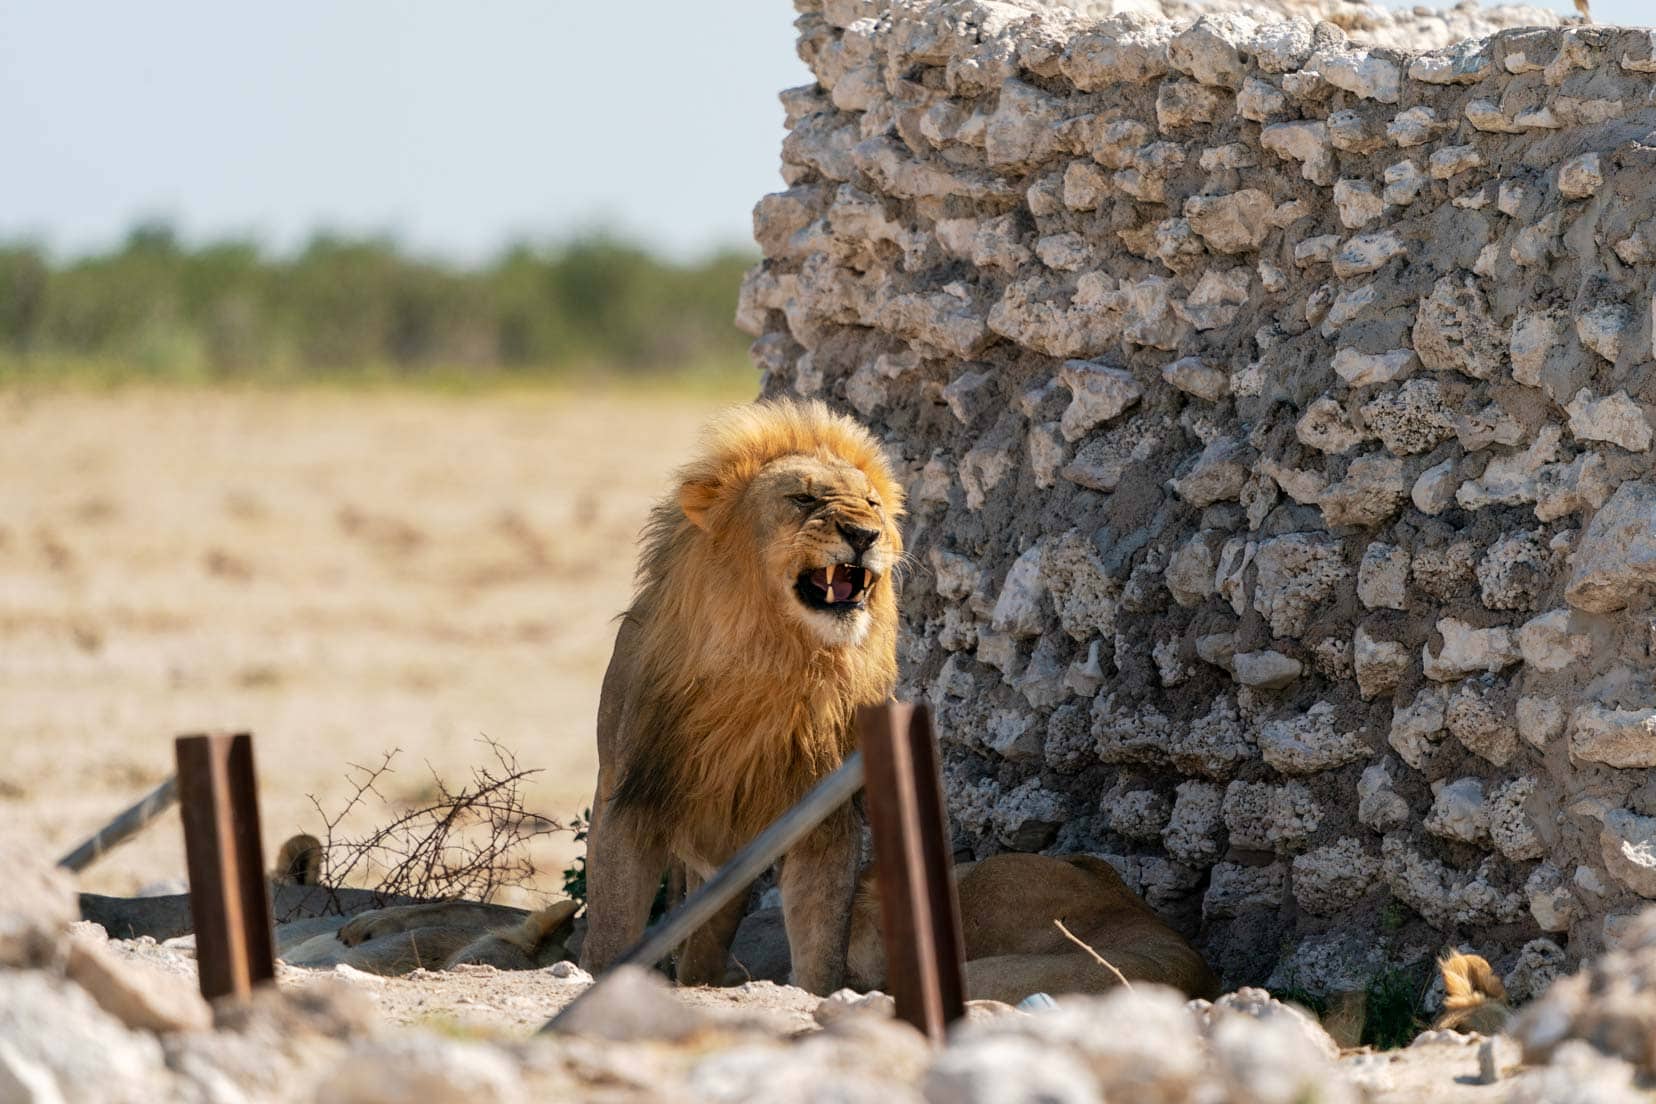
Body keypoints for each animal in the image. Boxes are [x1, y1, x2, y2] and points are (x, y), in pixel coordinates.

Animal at [572, 397, 907, 993]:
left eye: (872, 504)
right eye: (803, 499)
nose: (865, 534)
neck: (775, 660)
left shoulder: (821, 814)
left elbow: (822, 935)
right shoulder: (632, 795)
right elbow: (613, 919)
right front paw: (594, 978)